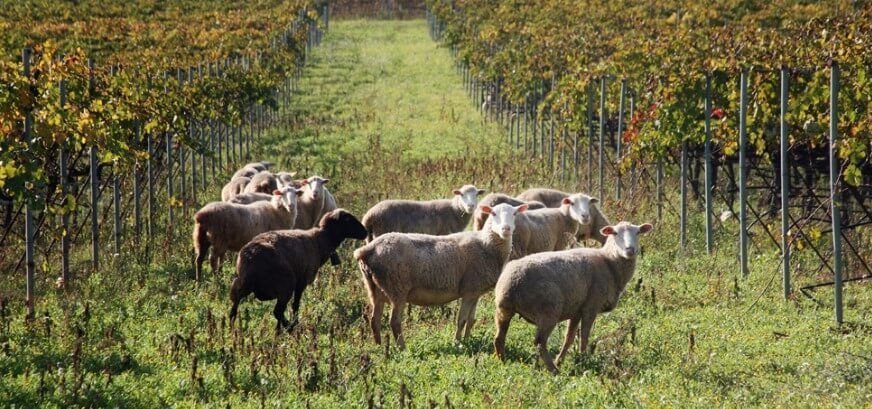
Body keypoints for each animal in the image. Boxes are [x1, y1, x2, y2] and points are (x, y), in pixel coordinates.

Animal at [229, 209, 368, 333]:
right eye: (348, 219)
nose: (365, 232)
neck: (321, 240)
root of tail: (251, 256)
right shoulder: (301, 281)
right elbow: (295, 305)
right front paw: (295, 322)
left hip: (241, 283)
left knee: (234, 305)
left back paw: (233, 329)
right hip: (285, 284)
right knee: (277, 311)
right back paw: (289, 328)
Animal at [354, 203, 528, 349]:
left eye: (514, 214)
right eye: (493, 213)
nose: (506, 229)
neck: (486, 244)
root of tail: (368, 250)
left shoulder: (476, 291)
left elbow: (471, 321)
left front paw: (468, 340)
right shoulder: (469, 290)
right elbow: (462, 320)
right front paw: (458, 343)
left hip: (374, 288)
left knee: (374, 320)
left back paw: (379, 346)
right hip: (397, 288)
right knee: (394, 322)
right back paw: (402, 348)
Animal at [493, 222, 653, 374]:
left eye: (638, 232)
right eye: (615, 233)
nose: (630, 250)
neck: (609, 263)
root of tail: (512, 283)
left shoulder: (576, 309)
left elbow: (569, 338)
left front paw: (561, 360)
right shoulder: (591, 307)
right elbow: (584, 337)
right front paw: (583, 360)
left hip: (503, 309)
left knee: (499, 338)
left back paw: (503, 363)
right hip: (549, 310)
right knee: (539, 342)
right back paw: (553, 371)